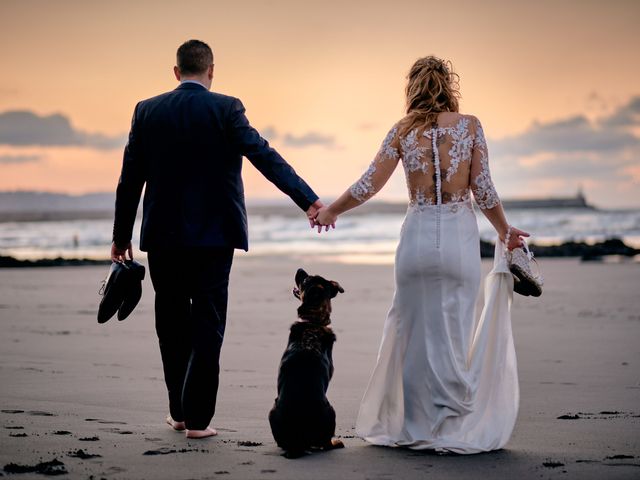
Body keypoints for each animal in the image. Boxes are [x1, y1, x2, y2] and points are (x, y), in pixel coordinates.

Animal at [268, 266, 344, 458]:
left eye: (304, 280)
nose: (300, 268)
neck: (314, 321)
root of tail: (298, 442)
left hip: (272, 411)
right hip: (331, 410)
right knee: (326, 444)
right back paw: (336, 442)